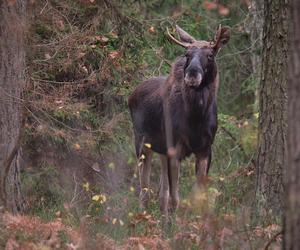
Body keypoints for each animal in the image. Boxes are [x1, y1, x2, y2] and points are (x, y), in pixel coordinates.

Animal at [128, 25, 230, 217]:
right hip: (141, 143)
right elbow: (175, 197)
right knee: (145, 189)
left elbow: (198, 195)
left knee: (161, 192)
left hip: (160, 149)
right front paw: (173, 222)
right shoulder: (174, 148)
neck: (196, 118)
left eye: (210, 55)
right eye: (186, 54)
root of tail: (132, 94)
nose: (192, 75)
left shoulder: (205, 149)